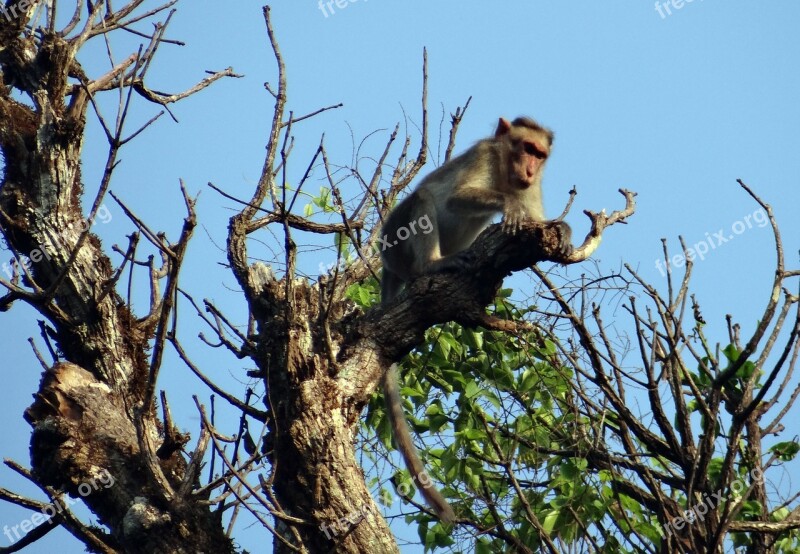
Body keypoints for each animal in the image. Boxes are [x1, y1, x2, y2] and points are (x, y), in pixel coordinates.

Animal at [380, 116, 572, 520]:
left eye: (539, 154)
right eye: (525, 149)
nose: (529, 170)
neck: (505, 170)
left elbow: (536, 221)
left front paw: (560, 228)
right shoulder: (484, 156)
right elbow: (456, 196)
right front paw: (508, 204)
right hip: (395, 241)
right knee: (422, 199)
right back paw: (432, 265)